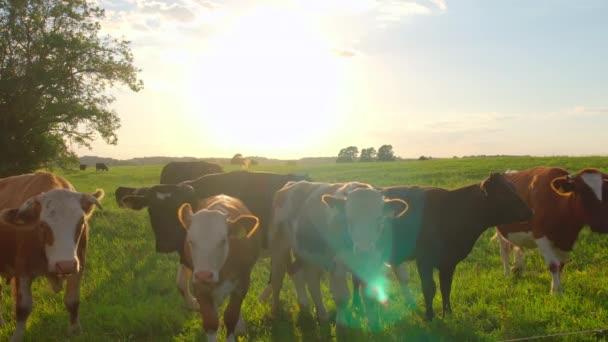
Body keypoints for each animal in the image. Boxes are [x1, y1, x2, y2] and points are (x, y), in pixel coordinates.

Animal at [0, 172, 103, 340]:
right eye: (42, 225)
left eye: (81, 222)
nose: (65, 265)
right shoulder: (22, 271)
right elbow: (23, 308)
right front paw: (17, 337)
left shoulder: (78, 266)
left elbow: (72, 301)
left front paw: (75, 331)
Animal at [121, 170, 316, 310]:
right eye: (151, 209)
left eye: (177, 208)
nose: (165, 244)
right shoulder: (187, 252)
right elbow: (181, 282)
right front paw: (193, 304)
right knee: (290, 268)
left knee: (290, 270)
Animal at [177, 195, 260, 342]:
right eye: (191, 241)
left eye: (223, 241)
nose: (204, 275)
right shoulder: (200, 286)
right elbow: (211, 321)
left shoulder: (242, 283)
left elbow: (231, 316)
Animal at [270, 180, 408, 328]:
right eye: (349, 219)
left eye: (379, 218)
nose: (363, 249)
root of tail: (292, 184)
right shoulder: (337, 265)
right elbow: (341, 297)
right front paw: (341, 324)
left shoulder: (371, 264)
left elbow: (369, 296)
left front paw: (373, 322)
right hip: (279, 249)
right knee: (277, 280)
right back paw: (275, 311)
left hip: (308, 255)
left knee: (309, 280)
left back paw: (316, 312)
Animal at [352, 174, 532, 320]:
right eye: (502, 194)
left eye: (514, 188)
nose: (530, 211)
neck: (450, 212)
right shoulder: (424, 260)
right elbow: (429, 288)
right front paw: (430, 316)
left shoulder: (449, 262)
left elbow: (446, 288)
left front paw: (448, 313)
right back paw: (356, 306)